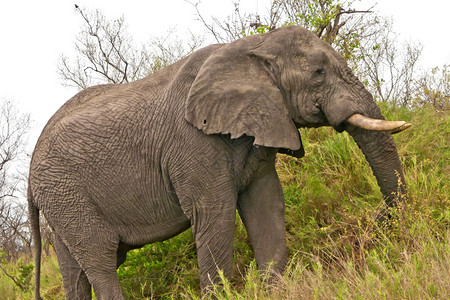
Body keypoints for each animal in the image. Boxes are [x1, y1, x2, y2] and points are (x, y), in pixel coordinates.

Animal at [27, 26, 408, 300]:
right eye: (318, 72)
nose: (376, 220)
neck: (251, 48)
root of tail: (30, 174)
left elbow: (266, 203)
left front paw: (276, 291)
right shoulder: (192, 143)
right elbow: (216, 213)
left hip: (62, 201)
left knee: (75, 270)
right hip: (66, 195)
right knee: (101, 261)